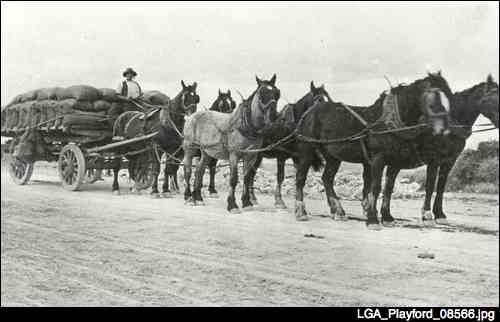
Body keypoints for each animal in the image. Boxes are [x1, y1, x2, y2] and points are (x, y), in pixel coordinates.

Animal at [244, 80, 330, 209]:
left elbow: (299, 177)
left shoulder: (297, 157)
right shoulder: (281, 156)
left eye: (326, 100)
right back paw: (251, 197)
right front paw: (279, 200)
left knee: (252, 173)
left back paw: (253, 197)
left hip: (258, 156)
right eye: (318, 100)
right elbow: (280, 176)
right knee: (250, 173)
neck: (292, 127)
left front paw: (298, 201)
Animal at [380, 75, 498, 224]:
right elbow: (430, 185)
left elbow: (441, 186)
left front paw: (440, 214)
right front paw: (426, 214)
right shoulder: (434, 159)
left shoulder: (450, 161)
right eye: (492, 97)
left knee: (389, 184)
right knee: (388, 184)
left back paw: (386, 214)